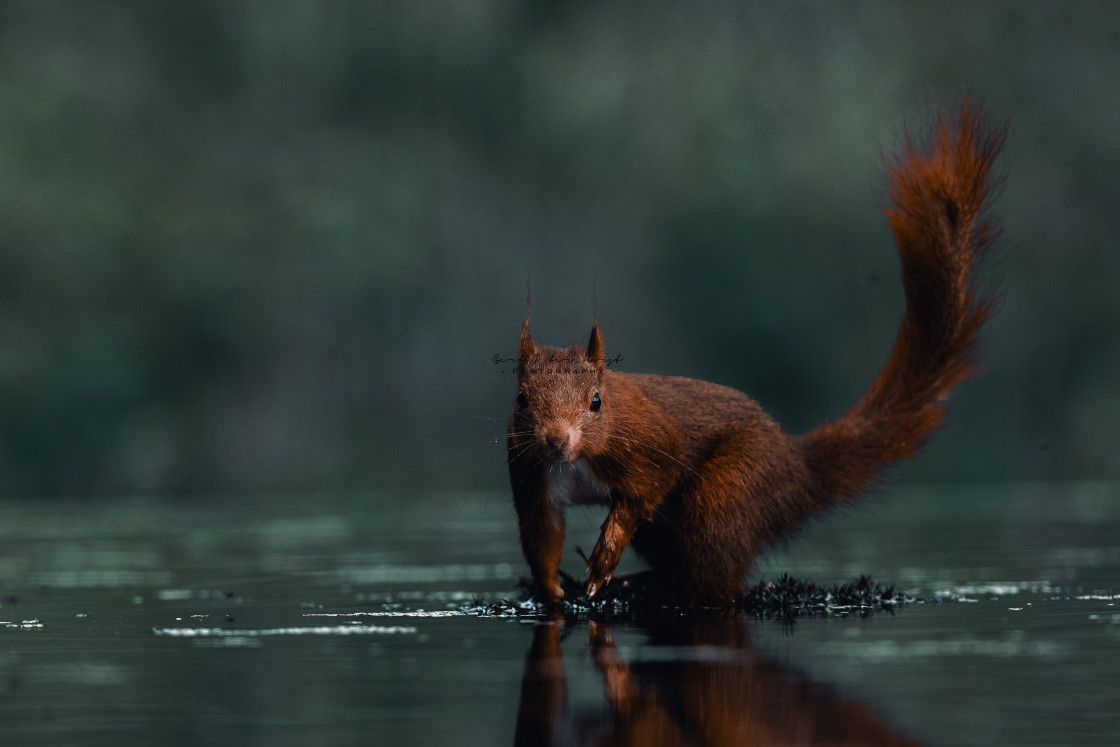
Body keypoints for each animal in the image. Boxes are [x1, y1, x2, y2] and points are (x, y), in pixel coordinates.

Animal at [508, 100, 1008, 600]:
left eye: (596, 402)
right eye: (521, 400)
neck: (576, 463)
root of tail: (798, 469)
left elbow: (645, 488)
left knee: (715, 570)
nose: (556, 440)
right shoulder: (532, 476)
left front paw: (605, 554)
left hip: (733, 488)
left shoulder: (649, 442)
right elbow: (542, 533)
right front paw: (552, 590)